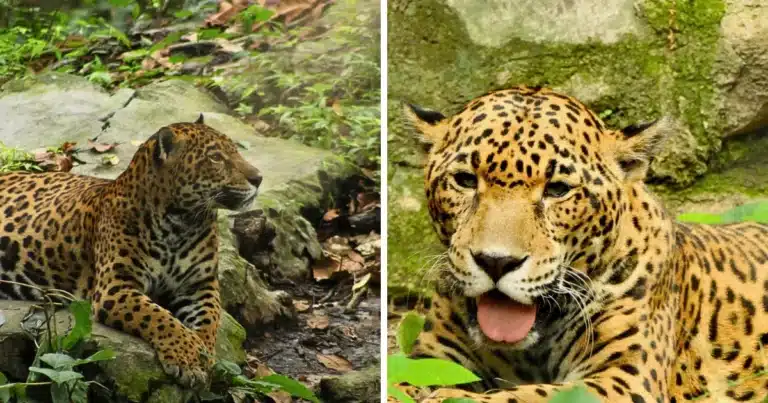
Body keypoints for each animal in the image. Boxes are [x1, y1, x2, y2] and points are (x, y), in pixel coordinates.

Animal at [0, 115, 262, 389]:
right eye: (215, 158)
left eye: (234, 150)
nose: (259, 178)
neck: (182, 222)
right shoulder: (115, 287)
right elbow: (159, 317)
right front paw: (187, 356)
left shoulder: (200, 284)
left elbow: (210, 318)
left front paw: (204, 353)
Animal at [397, 85, 768, 402]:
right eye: (465, 180)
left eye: (558, 189)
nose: (496, 261)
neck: (528, 354)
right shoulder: (433, 356)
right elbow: (402, 382)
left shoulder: (626, 378)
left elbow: (529, 395)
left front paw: (447, 397)